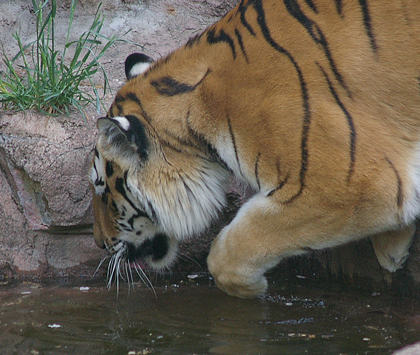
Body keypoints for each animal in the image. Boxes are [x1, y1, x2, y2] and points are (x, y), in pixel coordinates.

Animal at [90, 0, 420, 298]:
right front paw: (394, 249)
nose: (99, 243)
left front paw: (251, 287)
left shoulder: (346, 185)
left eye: (104, 192)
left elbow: (236, 245)